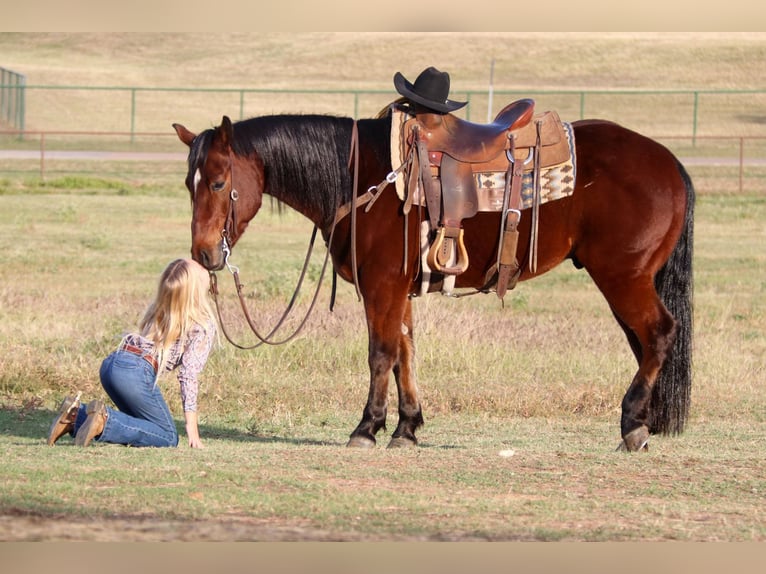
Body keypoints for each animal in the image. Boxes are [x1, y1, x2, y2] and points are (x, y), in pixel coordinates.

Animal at [174, 104, 696, 454]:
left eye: (218, 182)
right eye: (188, 184)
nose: (203, 253)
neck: (361, 178)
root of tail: (669, 161)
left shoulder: (382, 286)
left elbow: (381, 353)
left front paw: (367, 428)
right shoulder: (399, 290)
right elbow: (405, 352)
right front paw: (407, 428)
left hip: (623, 277)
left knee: (658, 334)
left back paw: (632, 424)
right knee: (646, 342)